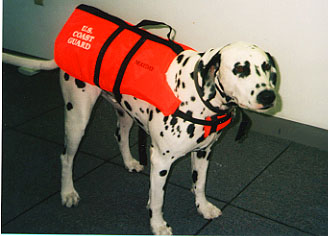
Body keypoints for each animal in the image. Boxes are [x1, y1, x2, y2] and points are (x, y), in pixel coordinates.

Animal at [3, 41, 278, 234]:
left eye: (266, 68)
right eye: (240, 68)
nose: (268, 96)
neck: (197, 94)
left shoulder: (203, 154)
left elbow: (199, 184)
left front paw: (203, 206)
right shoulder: (161, 162)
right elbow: (157, 200)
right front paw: (157, 225)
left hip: (125, 114)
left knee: (120, 135)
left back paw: (129, 162)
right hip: (77, 119)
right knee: (66, 157)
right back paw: (68, 192)